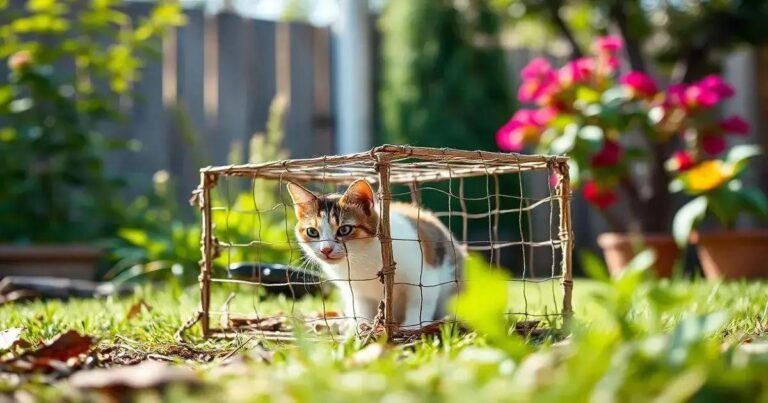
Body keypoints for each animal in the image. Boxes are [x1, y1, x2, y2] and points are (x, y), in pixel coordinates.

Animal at [286, 180, 464, 332]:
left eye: (345, 229)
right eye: (312, 232)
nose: (326, 250)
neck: (361, 256)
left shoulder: (424, 275)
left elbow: (420, 300)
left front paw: (412, 326)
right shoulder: (356, 292)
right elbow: (360, 309)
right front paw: (359, 330)